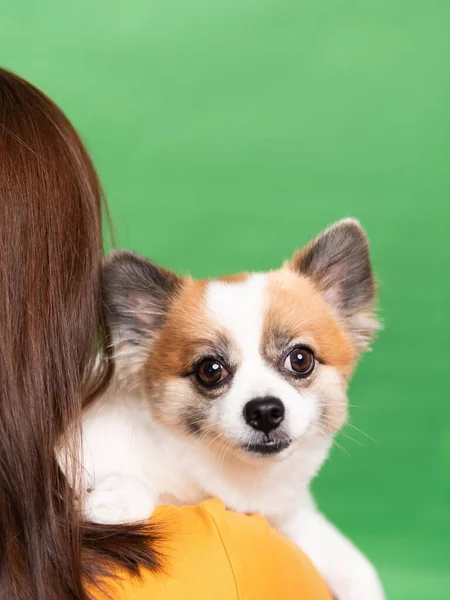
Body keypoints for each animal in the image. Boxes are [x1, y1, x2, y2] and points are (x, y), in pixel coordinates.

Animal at [76, 220, 384, 600]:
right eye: (210, 370)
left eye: (301, 359)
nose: (265, 411)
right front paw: (117, 498)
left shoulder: (289, 517)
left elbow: (350, 562)